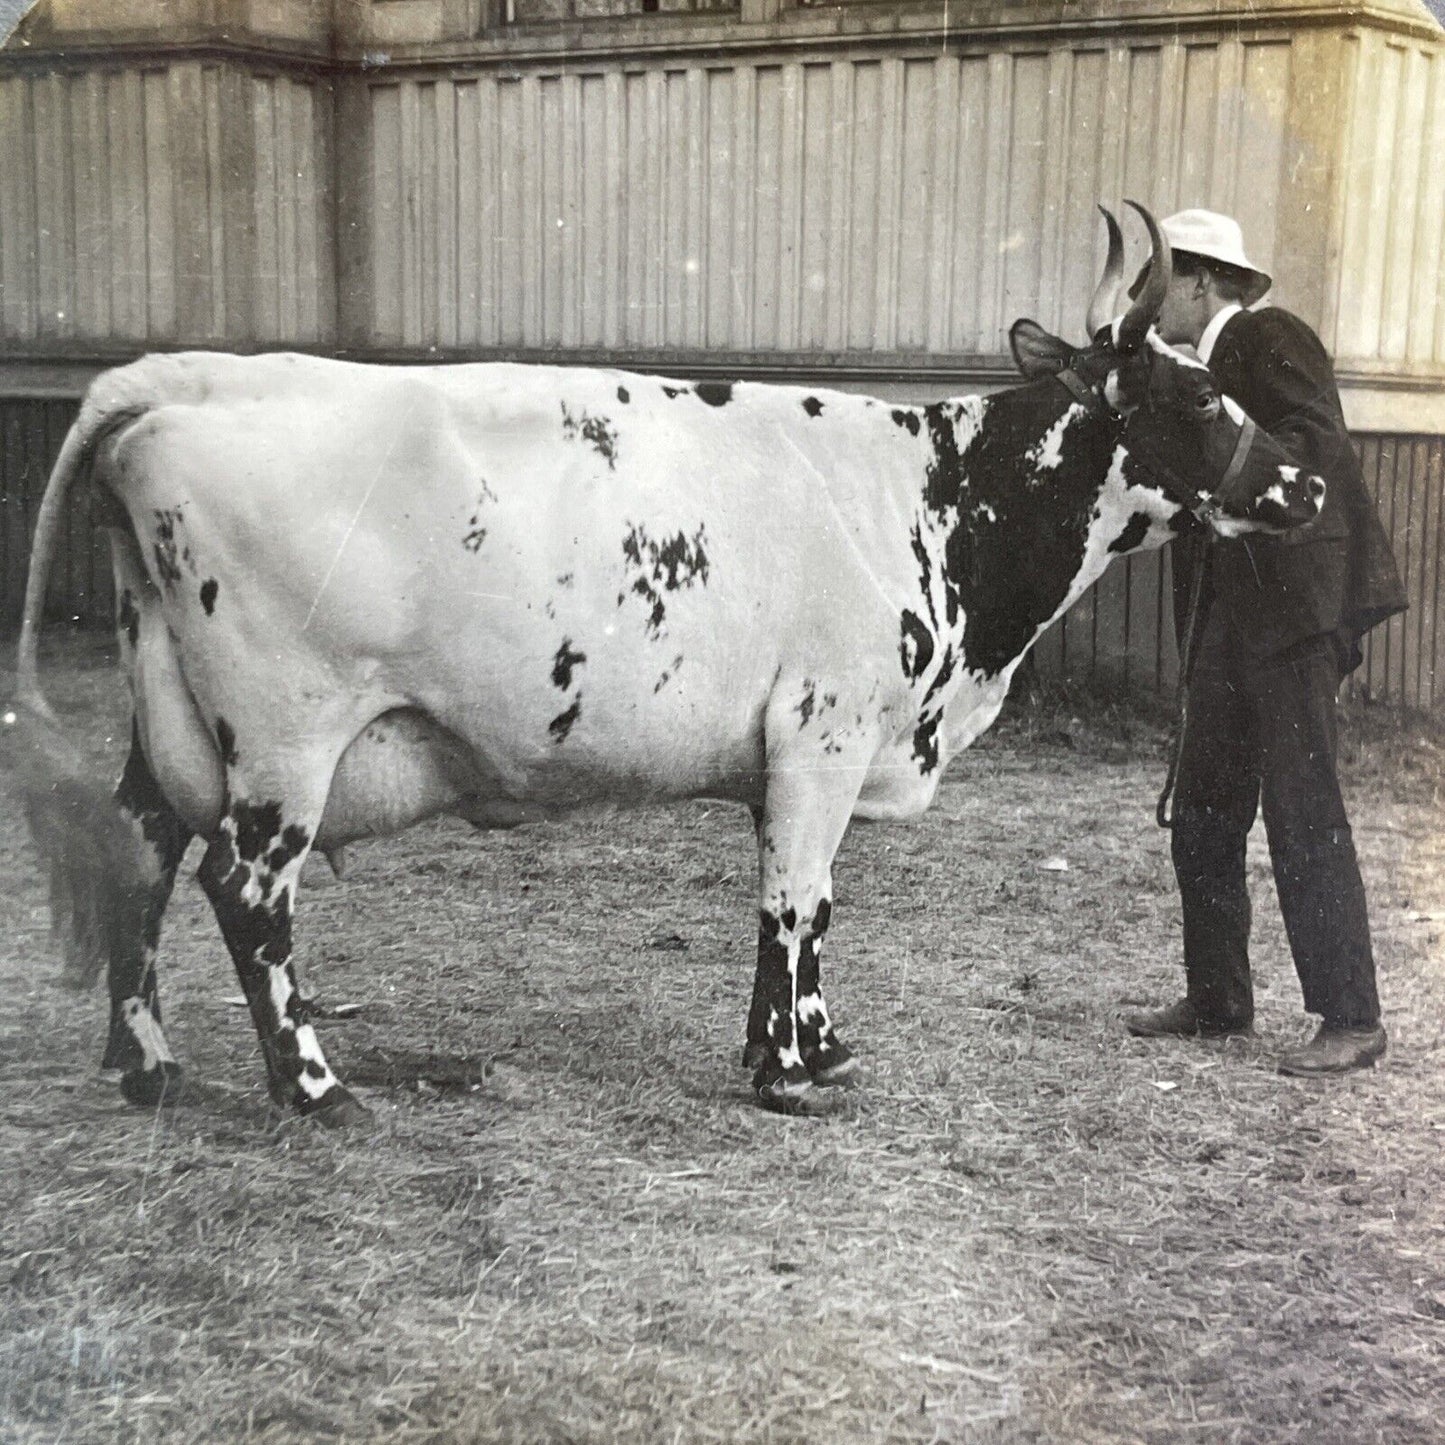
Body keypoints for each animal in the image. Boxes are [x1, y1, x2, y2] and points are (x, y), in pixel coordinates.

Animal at [8, 203, 1323, 1127]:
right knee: (245, 891)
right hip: (286, 735)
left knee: (142, 847)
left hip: (169, 712)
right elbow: (795, 898)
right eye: (1198, 396)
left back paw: (148, 1064)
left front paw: (811, 1045)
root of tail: (182, 375)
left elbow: (807, 904)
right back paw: (316, 1088)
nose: (1306, 483)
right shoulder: (823, 730)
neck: (934, 499)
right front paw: (785, 1071)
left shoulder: (802, 757)